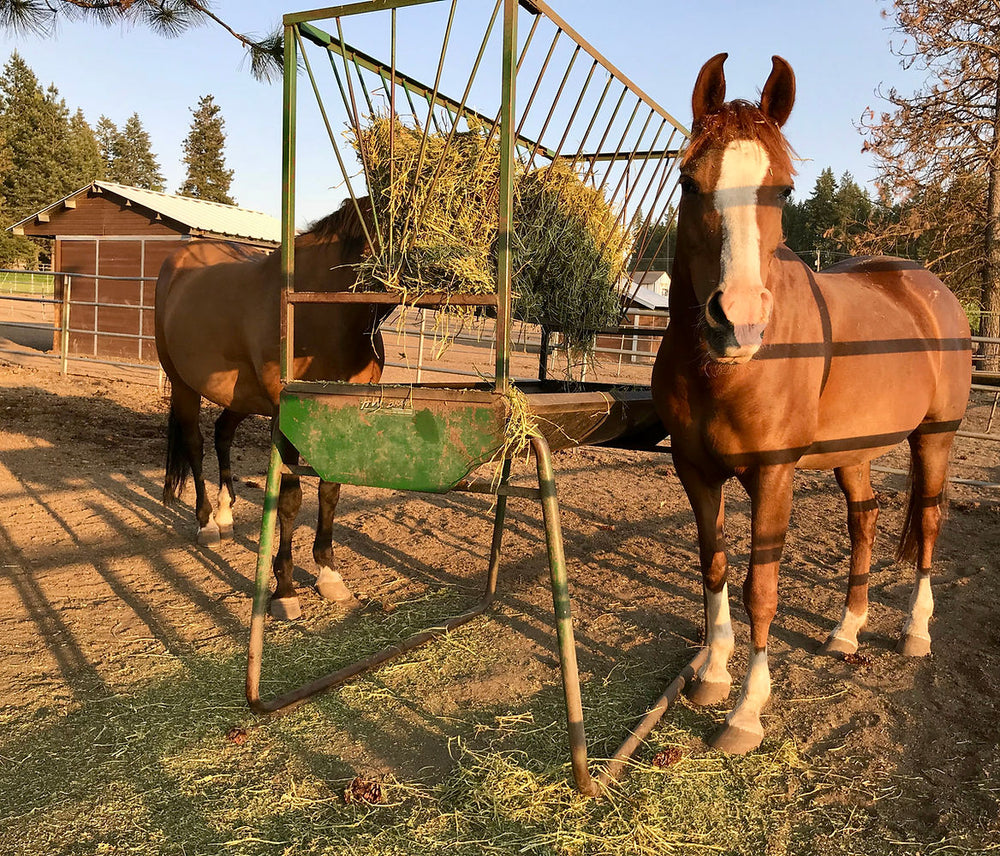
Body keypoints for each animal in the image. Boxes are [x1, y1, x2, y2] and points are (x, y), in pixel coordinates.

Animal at [155, 198, 390, 620]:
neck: (317, 311)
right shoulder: (285, 421)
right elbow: (290, 499)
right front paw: (284, 590)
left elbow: (330, 490)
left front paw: (330, 576)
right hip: (183, 386)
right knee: (195, 444)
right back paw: (206, 524)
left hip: (239, 398)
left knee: (222, 433)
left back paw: (225, 514)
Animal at [651, 54, 972, 754]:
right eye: (690, 181)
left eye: (785, 191)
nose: (737, 321)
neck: (728, 373)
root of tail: (929, 286)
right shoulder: (695, 471)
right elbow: (714, 567)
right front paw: (713, 676)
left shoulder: (774, 474)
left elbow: (761, 588)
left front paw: (746, 712)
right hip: (855, 452)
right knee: (865, 520)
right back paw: (846, 631)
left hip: (935, 436)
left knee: (930, 521)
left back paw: (915, 631)